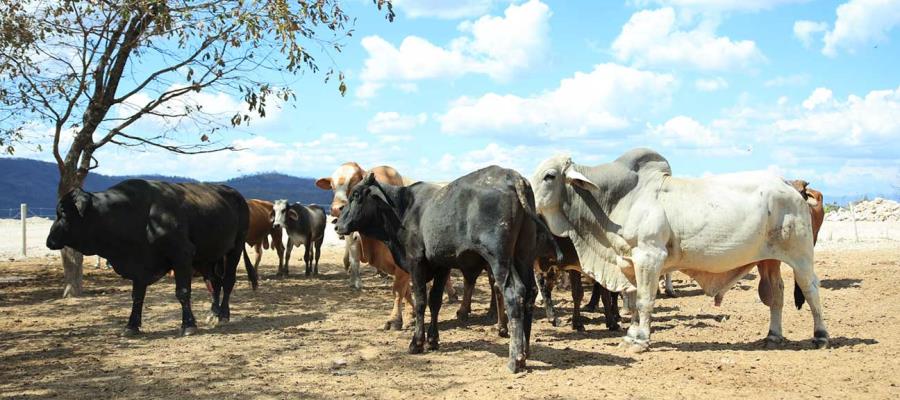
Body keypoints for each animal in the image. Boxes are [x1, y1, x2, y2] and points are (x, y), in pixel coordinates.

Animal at [47, 180, 256, 336]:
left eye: (63, 213)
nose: (49, 241)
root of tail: (235, 194)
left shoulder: (182, 254)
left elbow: (182, 292)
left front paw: (188, 325)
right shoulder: (140, 264)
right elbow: (137, 296)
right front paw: (131, 326)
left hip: (235, 248)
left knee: (227, 281)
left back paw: (224, 315)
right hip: (209, 257)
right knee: (214, 282)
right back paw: (213, 313)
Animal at [528, 148, 828, 352]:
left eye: (549, 176)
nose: (528, 203)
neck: (620, 199)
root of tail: (790, 186)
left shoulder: (649, 257)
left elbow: (645, 300)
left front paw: (640, 340)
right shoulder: (630, 262)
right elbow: (634, 301)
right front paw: (631, 333)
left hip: (800, 256)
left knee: (811, 288)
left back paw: (820, 335)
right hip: (769, 259)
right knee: (776, 294)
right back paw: (773, 336)